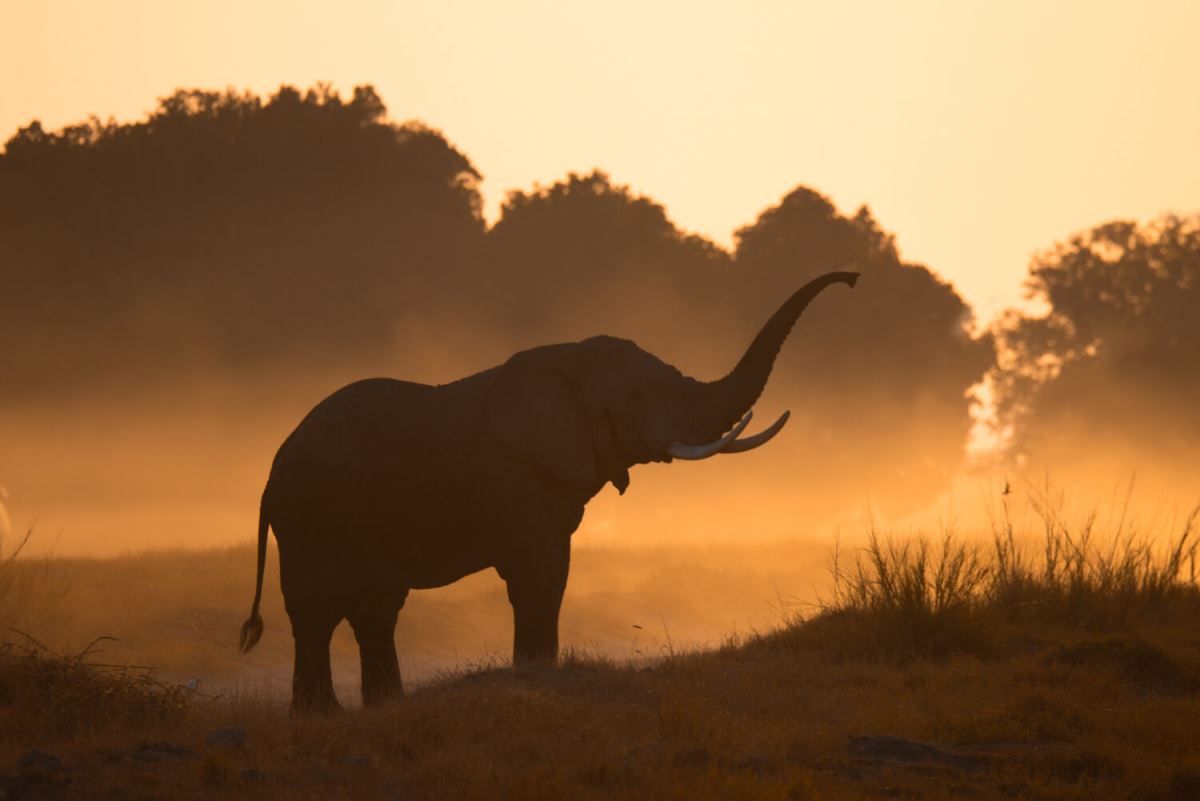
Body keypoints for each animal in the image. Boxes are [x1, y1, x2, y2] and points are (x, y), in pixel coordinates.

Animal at [236, 270, 854, 714]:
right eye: (635, 398)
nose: (851, 279)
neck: (566, 360)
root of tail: (268, 475)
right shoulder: (516, 478)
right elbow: (540, 574)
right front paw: (536, 678)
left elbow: (550, 574)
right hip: (311, 522)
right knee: (317, 612)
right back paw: (319, 718)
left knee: (375, 610)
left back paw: (383, 709)